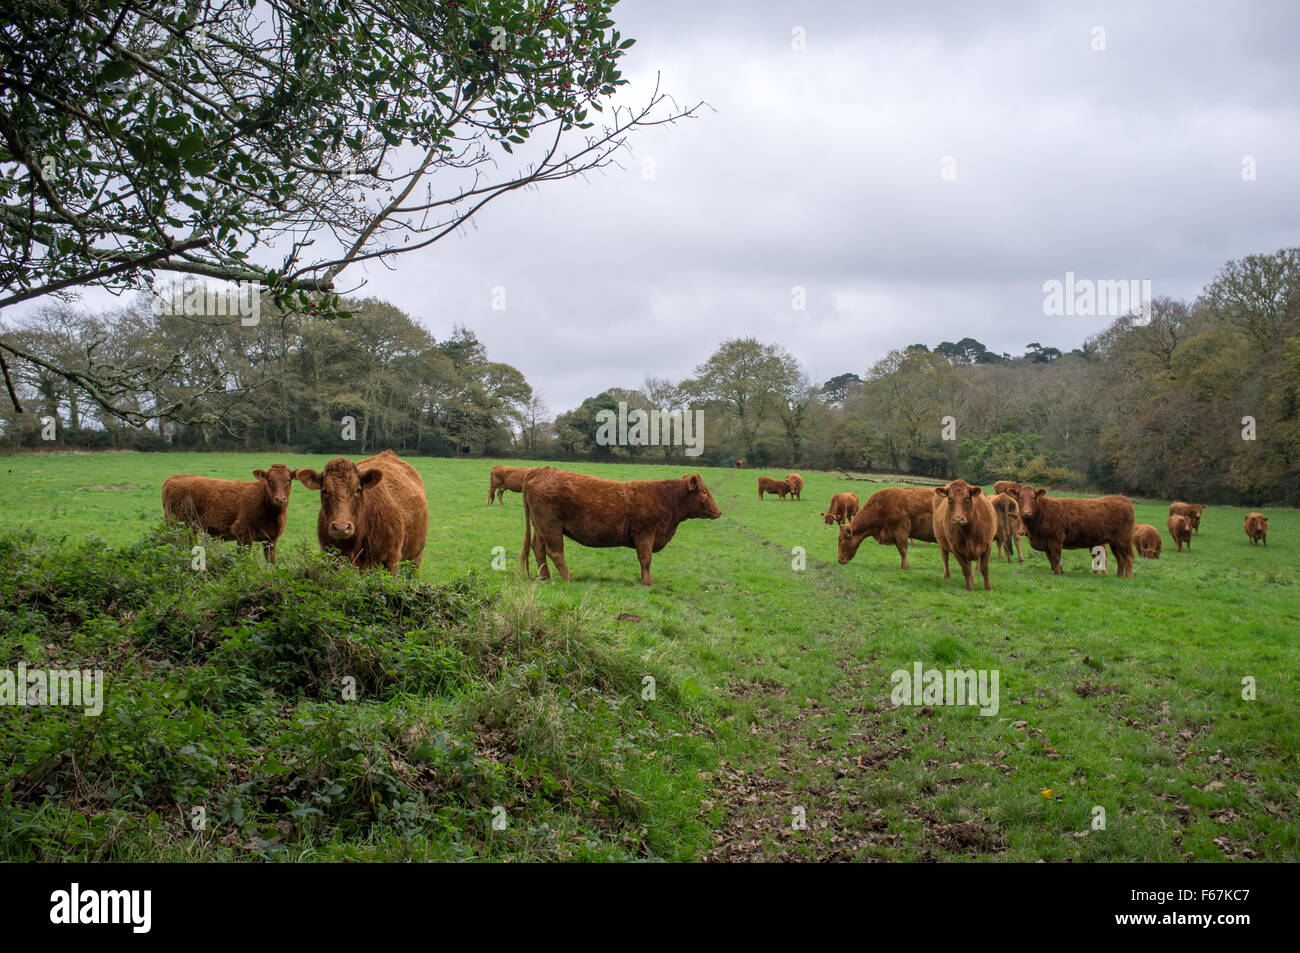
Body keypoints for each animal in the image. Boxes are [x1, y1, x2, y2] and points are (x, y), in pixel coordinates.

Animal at [162, 465, 297, 561]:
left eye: (288, 480)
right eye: (270, 480)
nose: (280, 499)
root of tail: (173, 478)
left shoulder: (271, 539)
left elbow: (272, 563)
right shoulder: (244, 534)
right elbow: (243, 561)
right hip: (179, 525)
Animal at [295, 447, 426, 572]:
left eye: (358, 490)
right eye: (324, 491)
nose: (341, 527)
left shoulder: (391, 560)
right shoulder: (330, 557)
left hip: (415, 558)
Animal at [517, 465, 722, 582]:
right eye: (704, 492)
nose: (719, 511)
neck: (665, 498)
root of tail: (541, 471)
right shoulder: (645, 534)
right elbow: (646, 559)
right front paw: (647, 582)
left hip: (541, 527)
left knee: (538, 548)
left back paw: (545, 576)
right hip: (551, 527)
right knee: (555, 552)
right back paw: (568, 578)